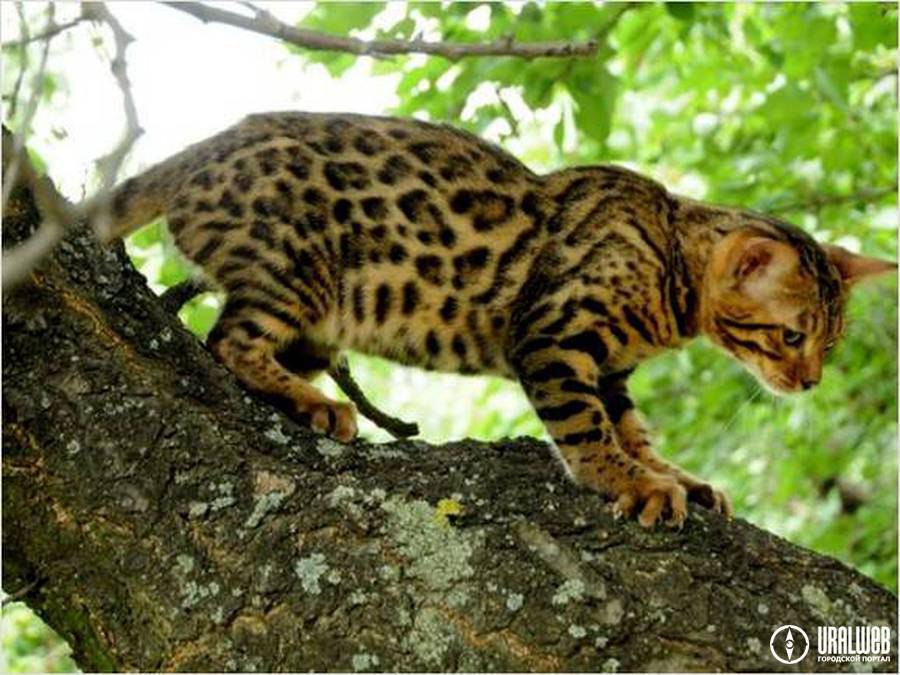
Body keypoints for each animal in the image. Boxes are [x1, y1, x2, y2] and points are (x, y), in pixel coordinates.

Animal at [95, 113, 896, 532]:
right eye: (792, 336)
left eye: (829, 343)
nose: (809, 381)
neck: (669, 257)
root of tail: (203, 149)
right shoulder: (551, 334)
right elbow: (588, 430)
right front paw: (630, 482)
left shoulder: (611, 366)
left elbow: (632, 426)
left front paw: (673, 473)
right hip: (299, 266)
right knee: (228, 339)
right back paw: (312, 402)